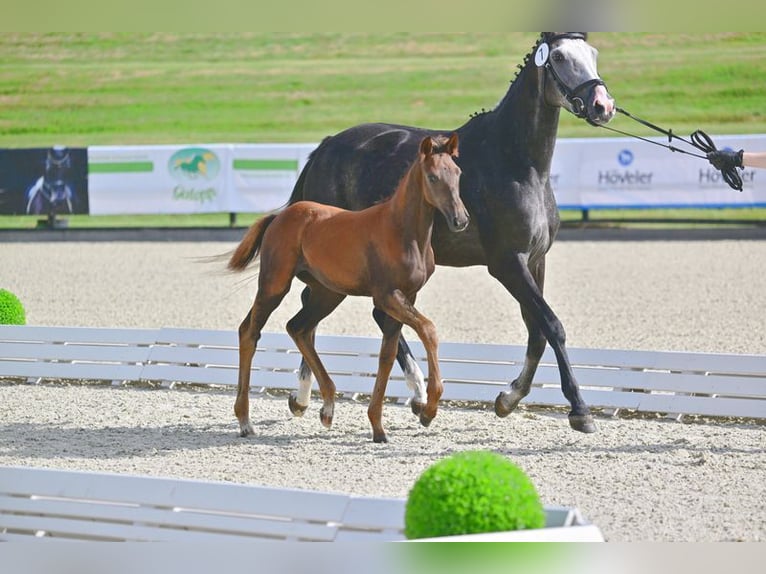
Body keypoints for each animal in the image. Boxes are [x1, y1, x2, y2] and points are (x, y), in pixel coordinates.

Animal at [284, 33, 616, 434]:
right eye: (561, 57)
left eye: (593, 54)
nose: (603, 106)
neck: (515, 161)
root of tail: (326, 147)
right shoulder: (507, 264)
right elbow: (552, 326)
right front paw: (580, 410)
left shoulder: (535, 261)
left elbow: (537, 332)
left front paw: (508, 399)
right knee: (321, 310)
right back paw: (311, 396)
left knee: (363, 314)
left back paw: (407, 396)